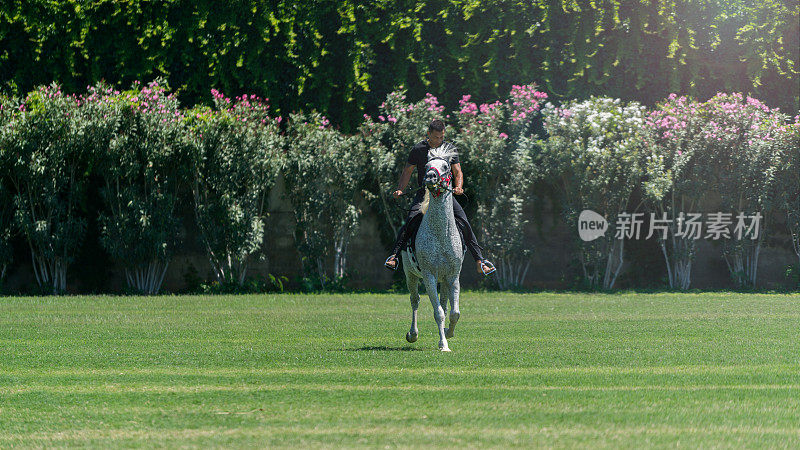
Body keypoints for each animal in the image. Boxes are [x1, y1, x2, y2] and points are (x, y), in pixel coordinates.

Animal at [400, 144, 462, 352]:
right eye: (427, 165)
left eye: (446, 166)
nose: (430, 177)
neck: (441, 234)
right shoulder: (429, 276)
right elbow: (439, 313)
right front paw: (444, 345)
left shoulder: (452, 276)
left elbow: (454, 312)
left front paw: (449, 333)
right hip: (410, 275)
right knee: (415, 300)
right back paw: (412, 334)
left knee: (444, 303)